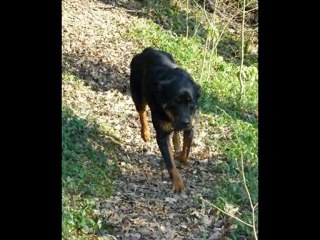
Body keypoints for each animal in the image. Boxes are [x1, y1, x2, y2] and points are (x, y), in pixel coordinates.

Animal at [129, 47, 200, 193]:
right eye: (175, 103)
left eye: (191, 104)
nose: (184, 121)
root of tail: (147, 50)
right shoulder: (162, 136)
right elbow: (169, 162)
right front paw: (178, 183)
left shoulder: (190, 127)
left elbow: (186, 153)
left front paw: (179, 154)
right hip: (137, 94)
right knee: (142, 112)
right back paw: (145, 133)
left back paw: (176, 141)